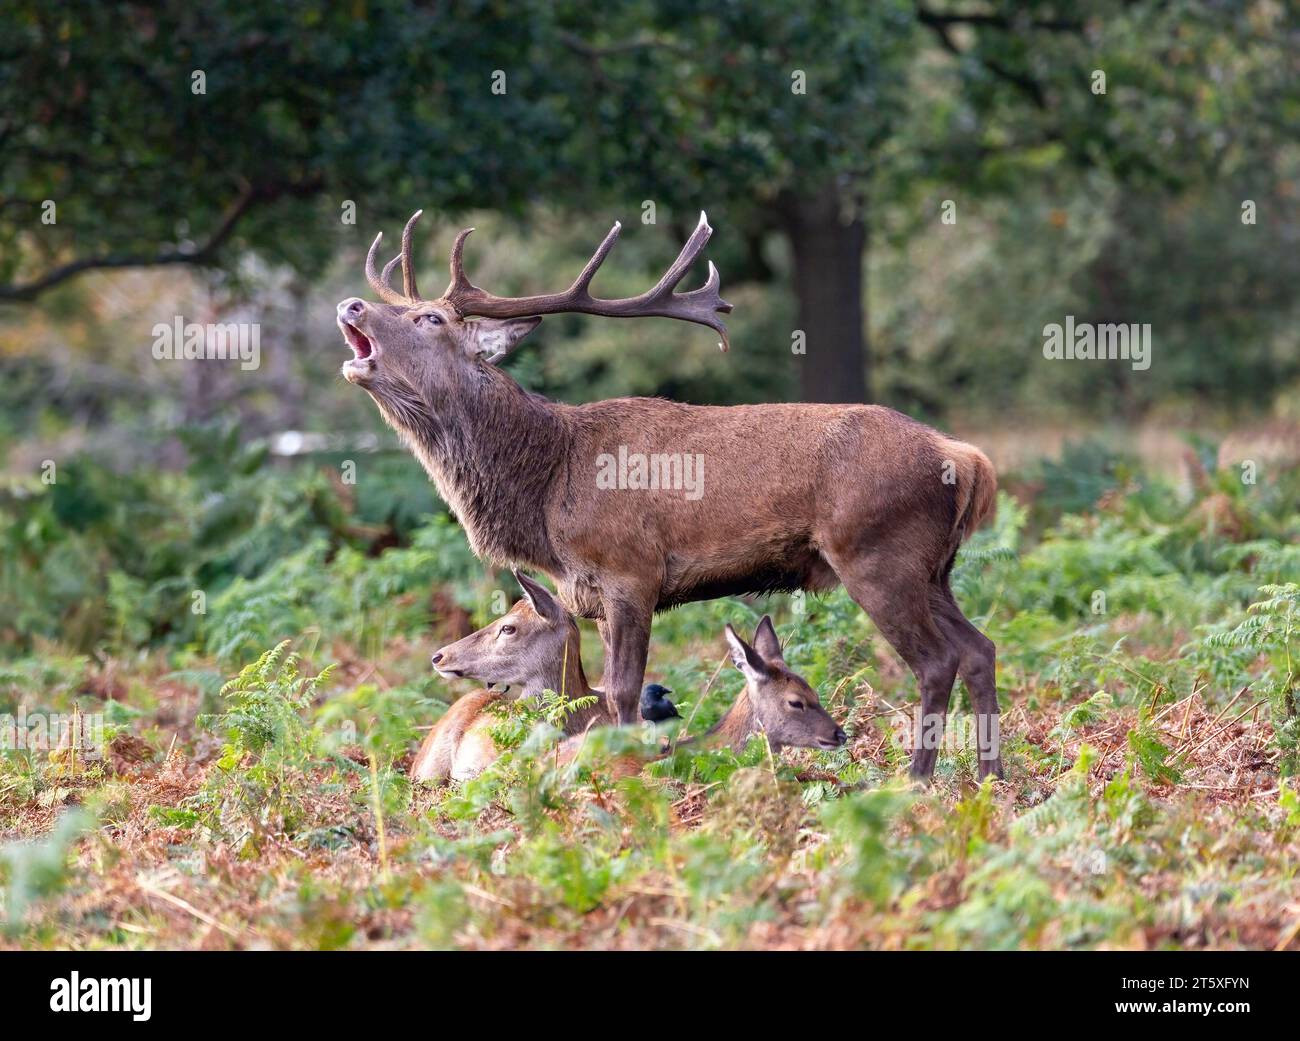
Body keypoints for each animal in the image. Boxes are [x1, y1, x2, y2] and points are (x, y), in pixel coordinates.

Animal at [339, 210, 1001, 781]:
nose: (350, 303)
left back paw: (917, 781)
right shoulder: (594, 593)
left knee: (936, 660)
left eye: (432, 319)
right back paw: (988, 778)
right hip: (933, 569)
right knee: (979, 648)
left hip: (876, 554)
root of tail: (966, 459)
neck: (545, 488)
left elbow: (624, 690)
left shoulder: (631, 572)